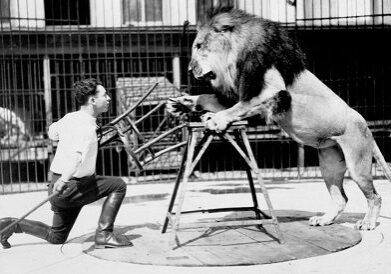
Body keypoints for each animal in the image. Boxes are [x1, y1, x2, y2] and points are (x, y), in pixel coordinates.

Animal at [167, 7, 391, 230]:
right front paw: (181, 103)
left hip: (357, 164)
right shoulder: (247, 93)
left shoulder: (271, 92)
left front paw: (215, 118)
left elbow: (238, 107)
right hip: (329, 164)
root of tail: (366, 126)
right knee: (341, 198)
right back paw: (324, 220)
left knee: (375, 196)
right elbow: (211, 98)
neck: (235, 58)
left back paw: (368, 223)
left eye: (199, 46)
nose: (189, 70)